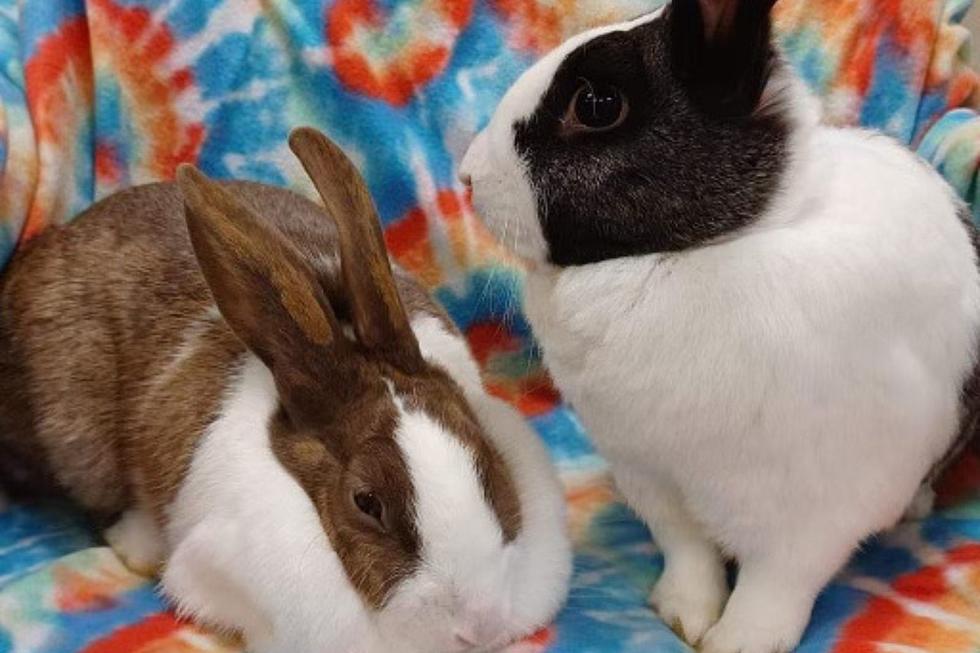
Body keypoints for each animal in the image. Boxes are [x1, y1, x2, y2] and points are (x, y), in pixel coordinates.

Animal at [460, 1, 980, 652]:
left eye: (598, 104)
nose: (467, 177)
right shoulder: (652, 478)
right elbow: (689, 555)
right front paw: (683, 615)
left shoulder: (811, 512)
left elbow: (773, 590)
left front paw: (737, 641)